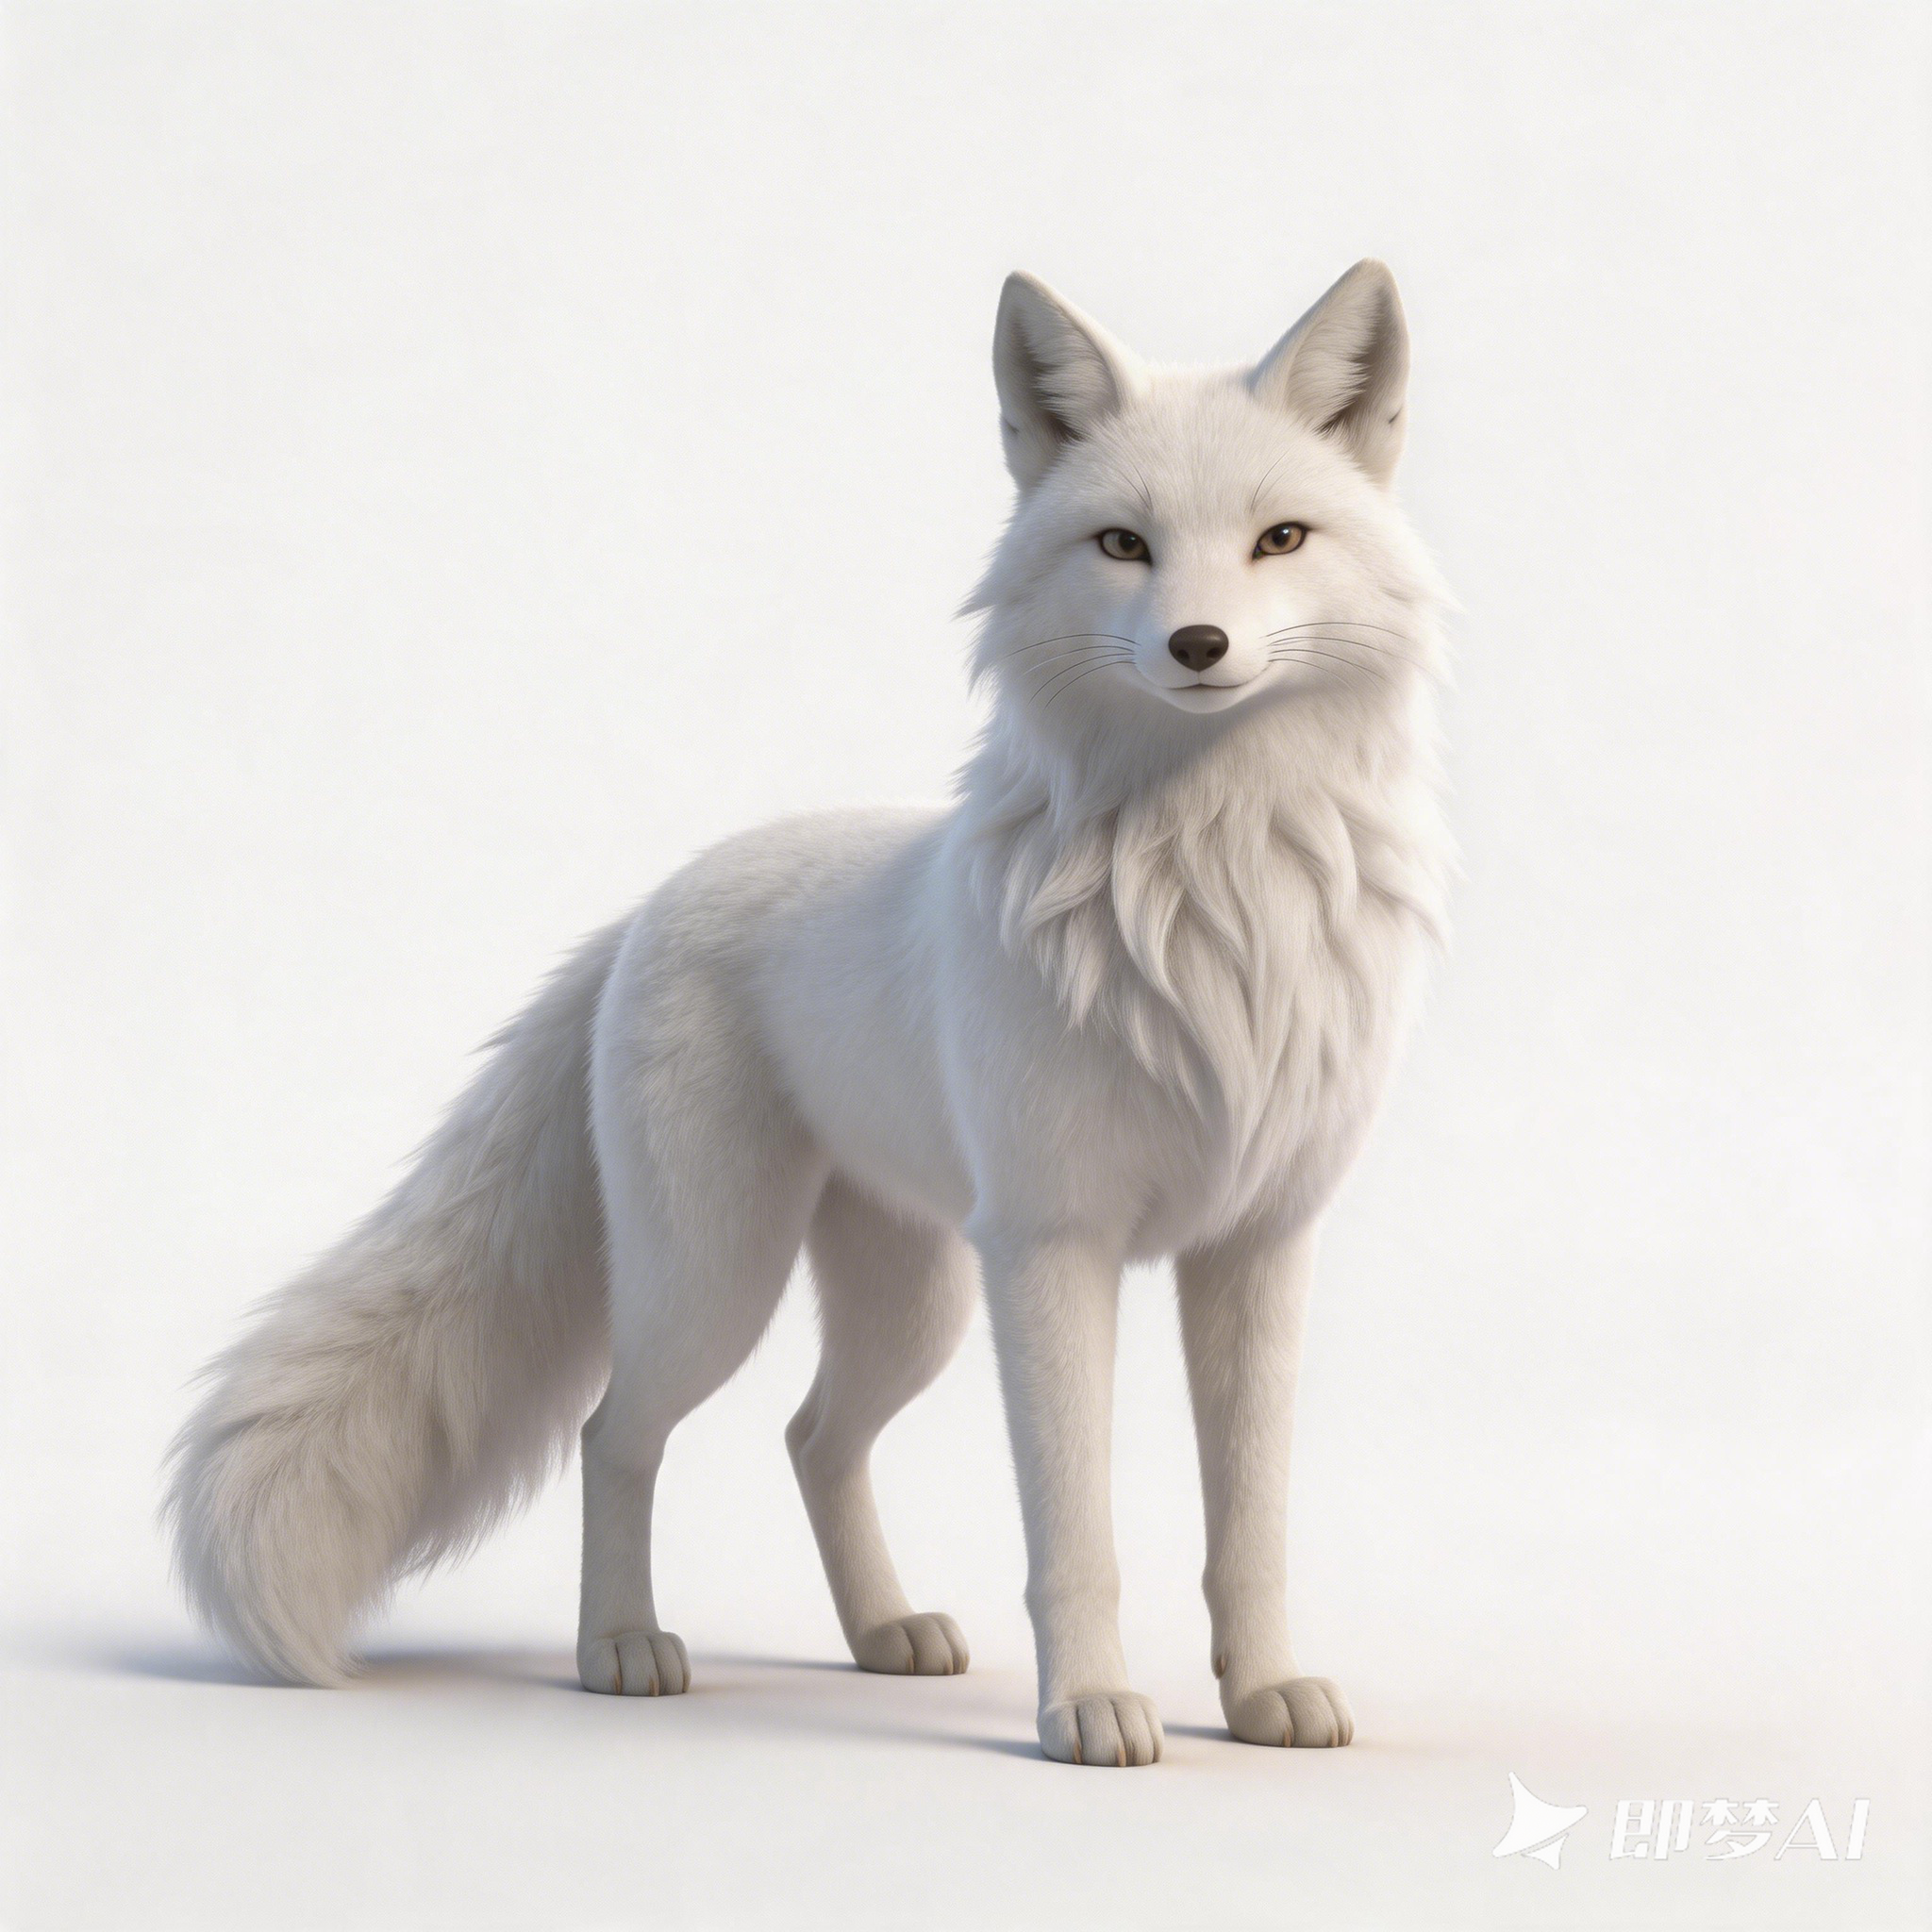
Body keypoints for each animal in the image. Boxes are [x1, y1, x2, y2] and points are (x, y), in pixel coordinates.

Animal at [166, 260, 1451, 1767]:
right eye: (1123, 544)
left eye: (1280, 539)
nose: (1199, 644)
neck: (1210, 894)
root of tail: (651, 903)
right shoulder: (1052, 1246)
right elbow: (1074, 1533)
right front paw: (1088, 1709)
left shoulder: (1255, 1245)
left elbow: (1248, 1524)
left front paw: (1261, 1699)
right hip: (719, 1282)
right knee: (616, 1430)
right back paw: (620, 1648)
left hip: (913, 1306)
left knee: (812, 1437)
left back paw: (881, 1633)